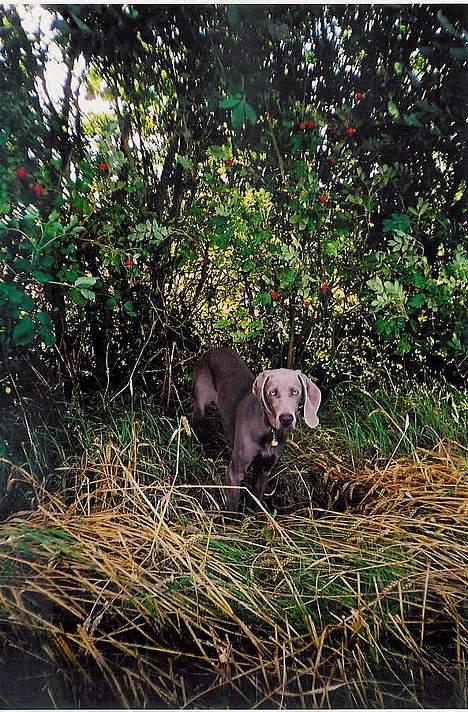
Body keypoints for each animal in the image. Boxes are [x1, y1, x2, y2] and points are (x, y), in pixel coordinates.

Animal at [192, 346, 320, 508]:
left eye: (295, 391)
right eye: (273, 392)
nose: (286, 419)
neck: (269, 432)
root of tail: (212, 350)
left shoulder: (265, 470)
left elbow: (257, 501)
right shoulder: (235, 473)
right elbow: (232, 508)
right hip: (200, 407)